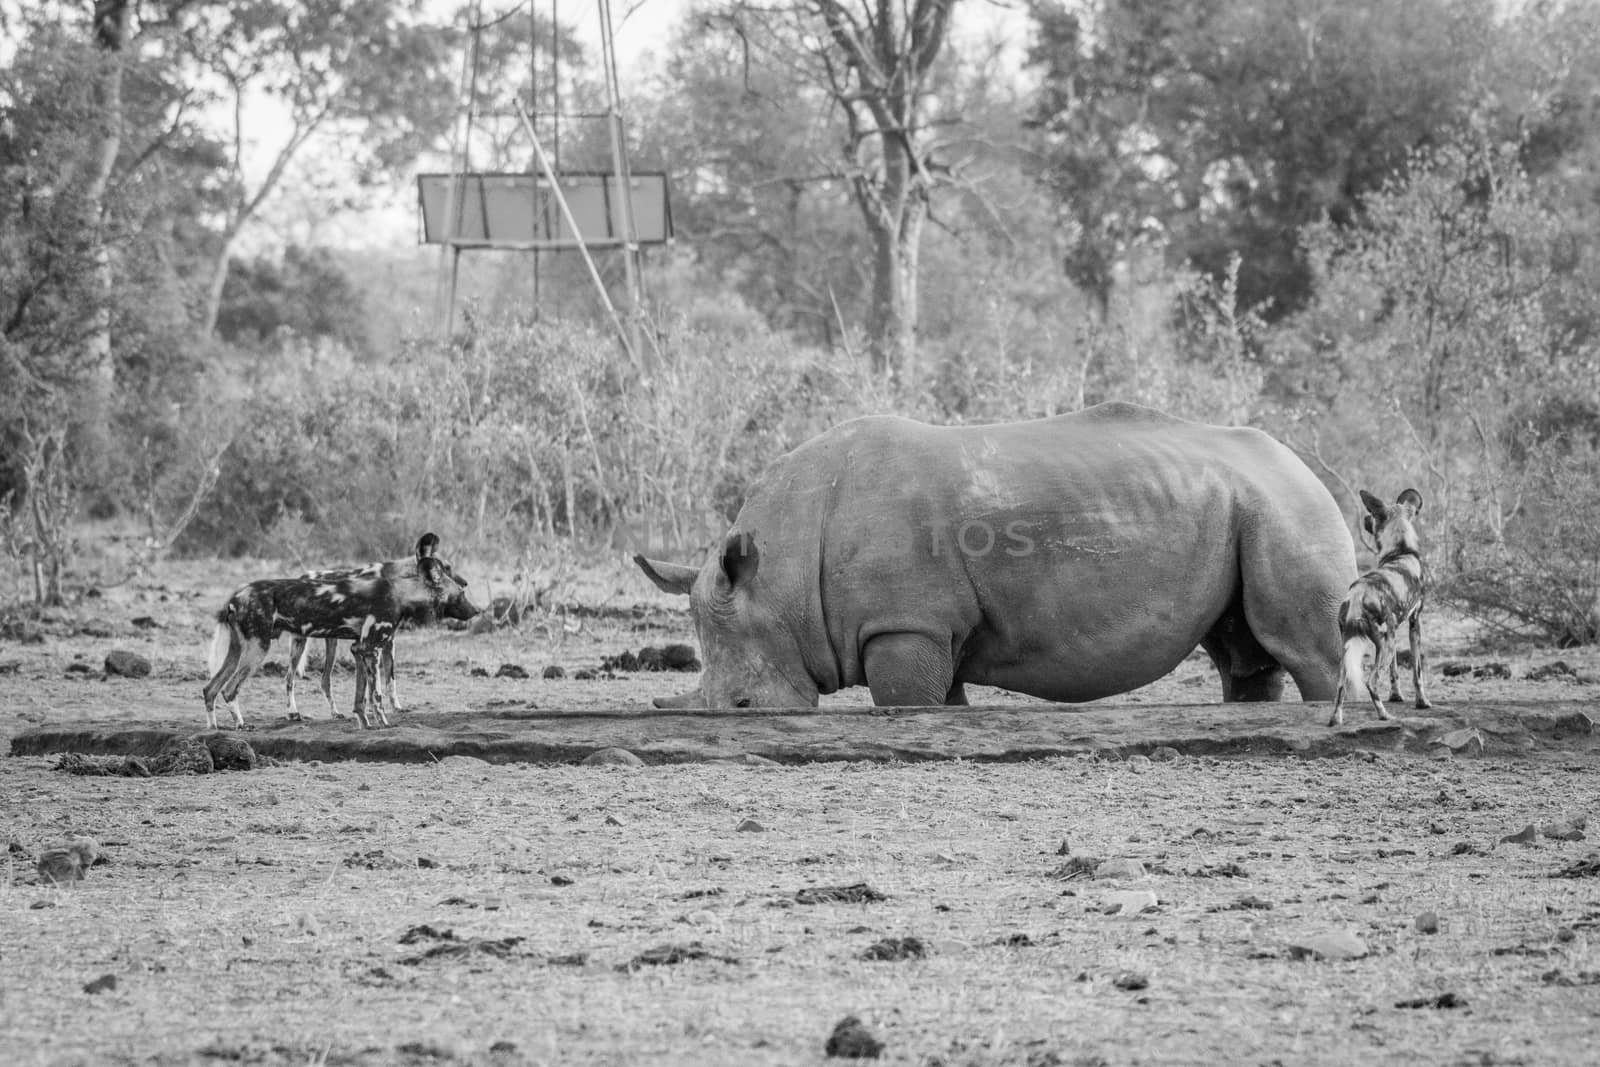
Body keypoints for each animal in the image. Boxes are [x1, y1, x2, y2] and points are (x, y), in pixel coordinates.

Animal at [200, 534, 476, 735]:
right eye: (460, 594)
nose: (476, 610)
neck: (401, 591)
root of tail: (236, 596)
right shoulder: (371, 648)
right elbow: (376, 695)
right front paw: (384, 725)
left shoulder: (360, 649)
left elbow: (361, 696)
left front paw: (365, 725)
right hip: (260, 649)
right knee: (231, 689)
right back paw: (242, 725)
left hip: (241, 650)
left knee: (211, 688)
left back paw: (214, 728)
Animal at [636, 399, 1350, 710]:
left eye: (742, 707)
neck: (781, 576)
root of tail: (1303, 463)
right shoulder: (931, 630)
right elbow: (945, 701)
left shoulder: (904, 625)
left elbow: (907, 703)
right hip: (1248, 505)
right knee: (1244, 652)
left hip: (1288, 508)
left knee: (1308, 649)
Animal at [1331, 489, 1433, 726]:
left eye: (1373, 514)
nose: (1365, 518)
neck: (1401, 551)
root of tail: (1358, 594)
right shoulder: (1415, 623)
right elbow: (1417, 673)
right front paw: (1422, 702)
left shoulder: (1392, 633)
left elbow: (1395, 672)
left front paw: (1396, 696)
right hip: (1383, 645)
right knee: (1371, 681)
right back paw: (1384, 715)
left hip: (1357, 644)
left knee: (1341, 683)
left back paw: (1336, 719)